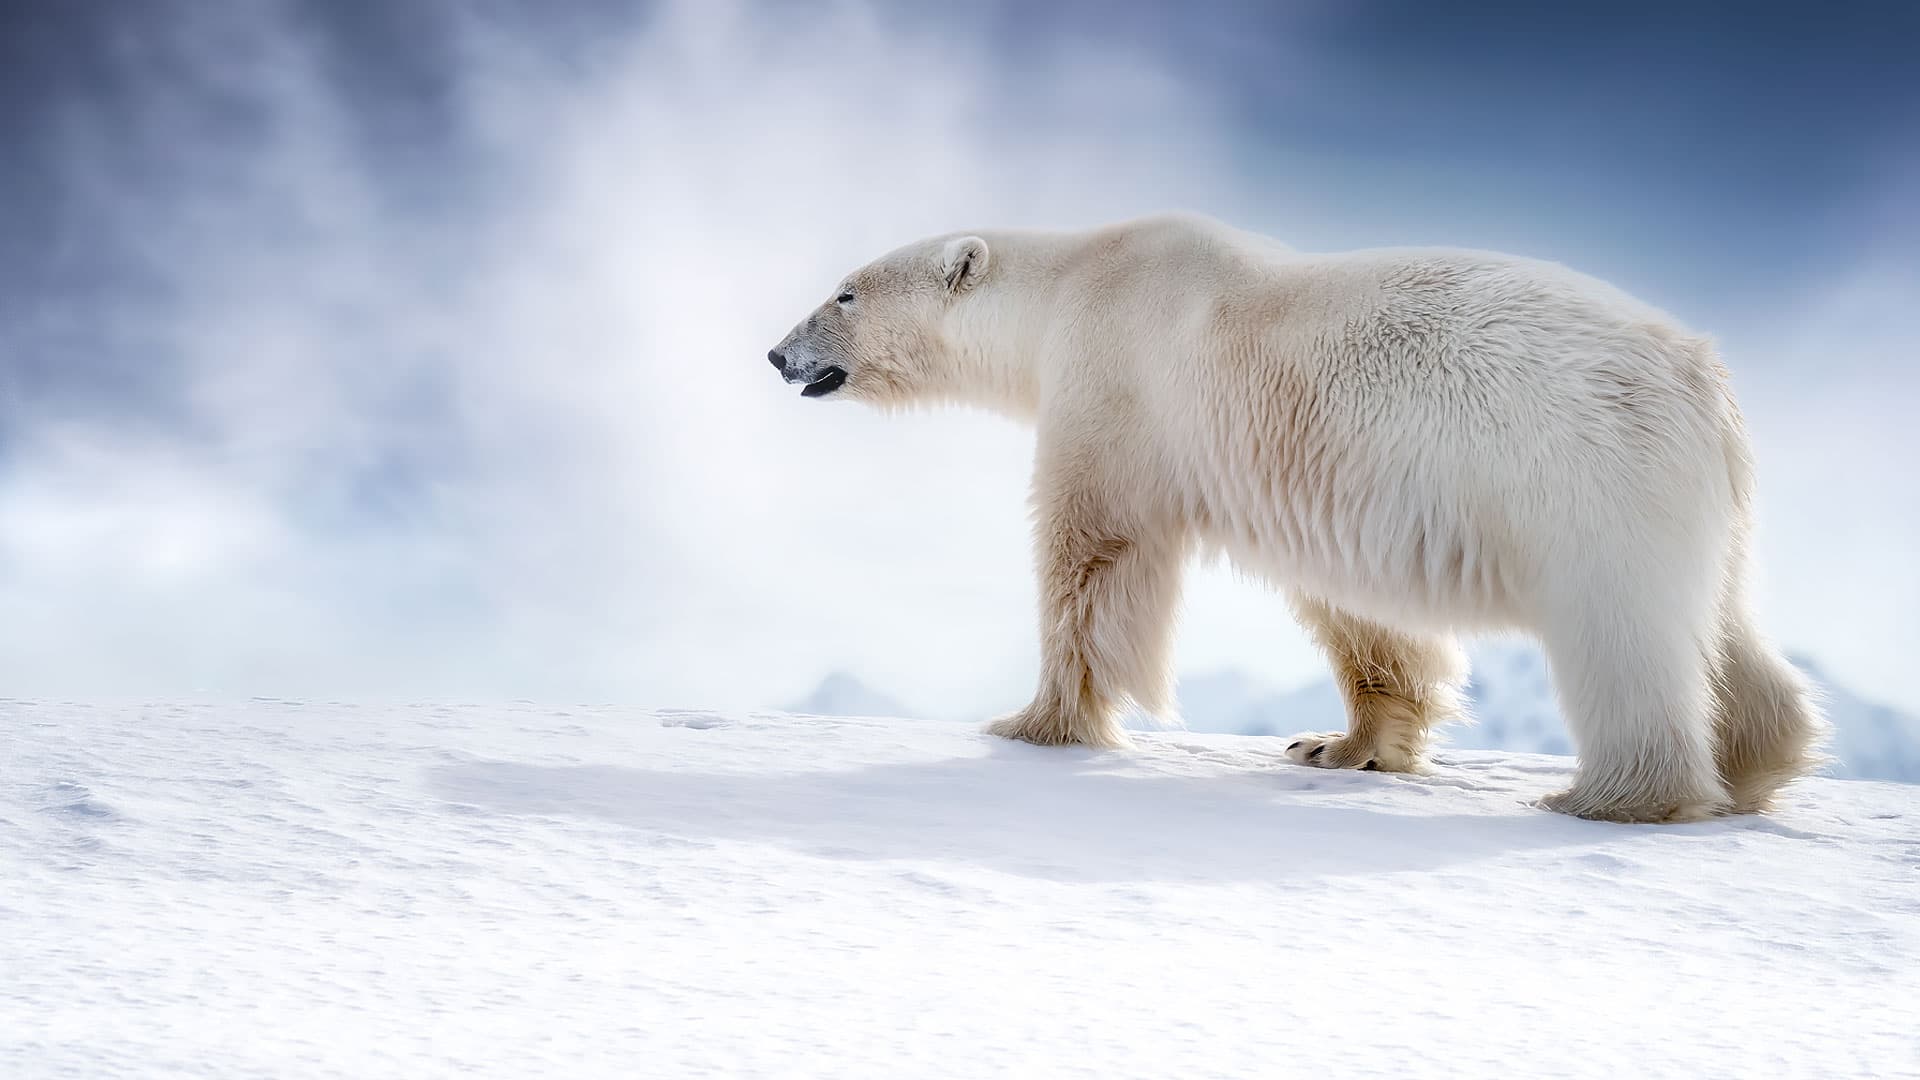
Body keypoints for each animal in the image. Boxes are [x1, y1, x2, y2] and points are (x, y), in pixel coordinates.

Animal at [767, 212, 1826, 823]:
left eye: (844, 292)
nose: (778, 354)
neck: (1074, 281)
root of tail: (1700, 373)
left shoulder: (1114, 389)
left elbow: (1094, 555)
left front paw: (1034, 725)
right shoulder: (1314, 477)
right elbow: (1357, 609)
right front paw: (1342, 746)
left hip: (1583, 476)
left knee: (1622, 635)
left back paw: (1606, 797)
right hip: (1695, 498)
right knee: (1722, 624)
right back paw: (1758, 761)